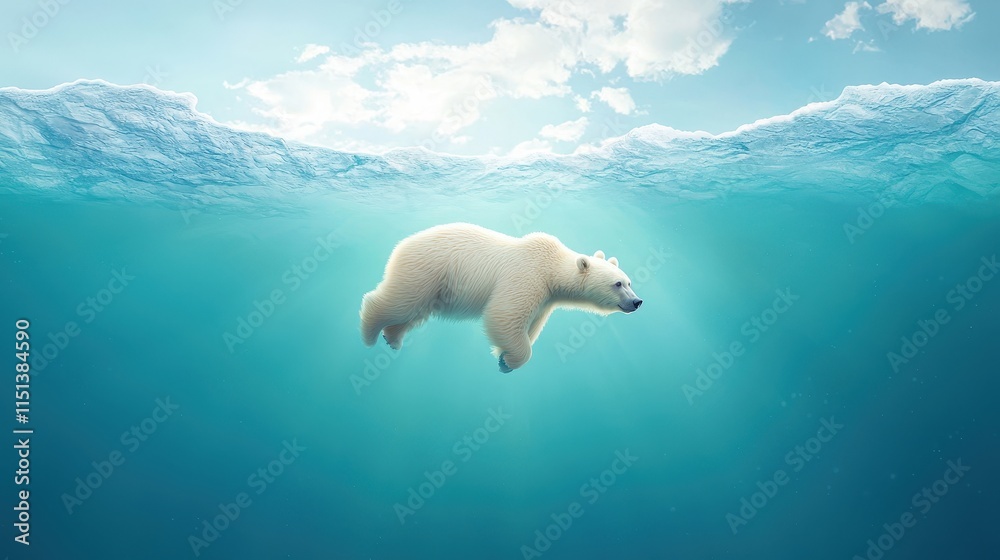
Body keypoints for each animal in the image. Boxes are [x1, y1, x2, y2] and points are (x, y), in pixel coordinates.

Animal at [359, 223, 643, 372]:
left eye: (629, 282)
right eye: (617, 284)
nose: (637, 302)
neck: (552, 266)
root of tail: (403, 244)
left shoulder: (546, 298)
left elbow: (532, 324)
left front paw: (504, 360)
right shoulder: (527, 276)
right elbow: (504, 314)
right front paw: (510, 359)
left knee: (414, 311)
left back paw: (392, 338)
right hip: (426, 269)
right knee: (400, 301)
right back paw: (370, 333)